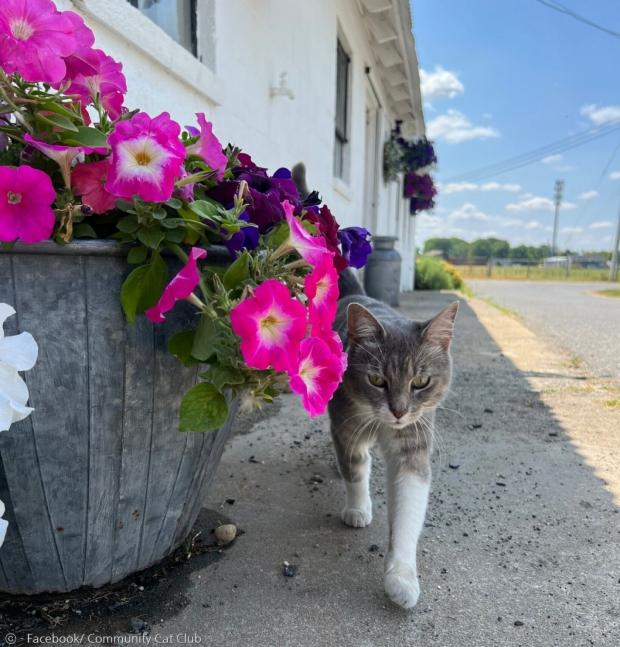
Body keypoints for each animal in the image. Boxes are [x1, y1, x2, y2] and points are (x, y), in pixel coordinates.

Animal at [326, 270, 458, 612]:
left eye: (421, 381)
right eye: (376, 380)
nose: (398, 411)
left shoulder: (413, 444)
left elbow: (408, 509)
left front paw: (401, 578)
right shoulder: (346, 426)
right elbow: (355, 470)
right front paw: (358, 508)